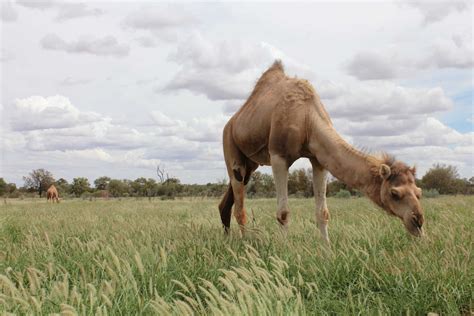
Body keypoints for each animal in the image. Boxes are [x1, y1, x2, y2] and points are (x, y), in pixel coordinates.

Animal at [218, 60, 422, 242]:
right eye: (394, 193)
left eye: (419, 192)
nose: (418, 221)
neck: (306, 118)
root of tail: (232, 122)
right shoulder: (278, 156)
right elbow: (283, 212)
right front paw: (284, 249)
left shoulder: (319, 160)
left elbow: (323, 212)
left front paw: (327, 250)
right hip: (230, 144)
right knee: (239, 203)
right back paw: (244, 242)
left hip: (251, 163)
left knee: (230, 198)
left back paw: (228, 237)